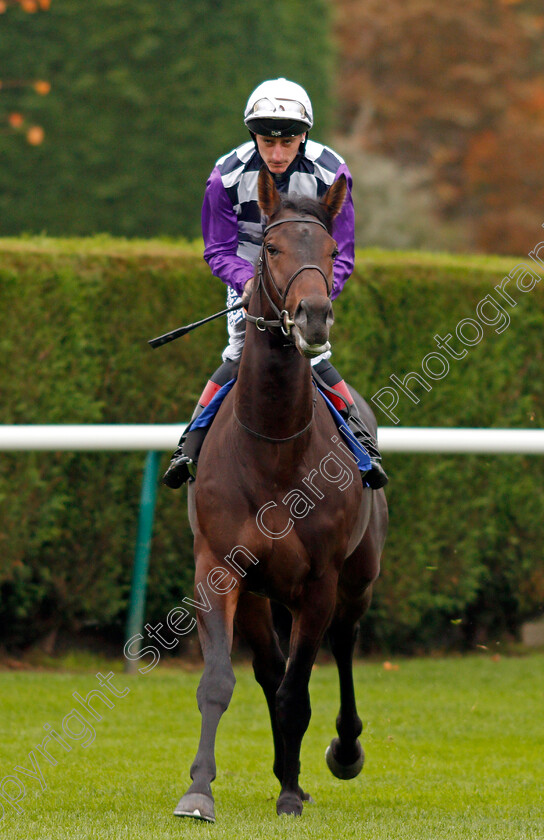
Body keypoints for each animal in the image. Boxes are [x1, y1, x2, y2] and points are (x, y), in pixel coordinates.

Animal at [174, 166, 386, 820]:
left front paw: (292, 792)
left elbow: (299, 690)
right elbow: (223, 681)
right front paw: (198, 790)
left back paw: (341, 751)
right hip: (263, 593)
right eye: (269, 247)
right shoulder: (219, 568)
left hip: (358, 576)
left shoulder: (319, 581)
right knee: (271, 668)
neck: (271, 449)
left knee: (342, 644)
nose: (313, 315)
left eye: (333, 250)